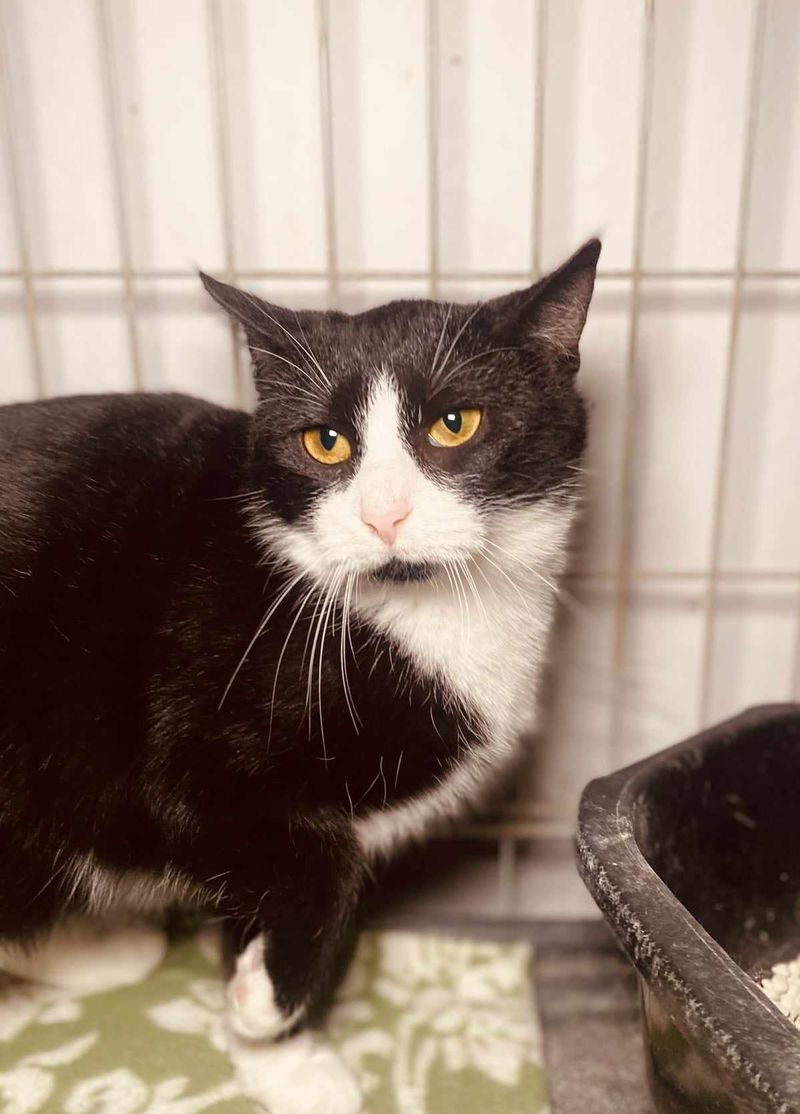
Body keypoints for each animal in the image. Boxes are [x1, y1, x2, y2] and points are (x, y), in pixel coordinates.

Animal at [0, 238, 599, 1112]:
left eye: (455, 423)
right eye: (326, 442)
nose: (384, 515)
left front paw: (270, 1052)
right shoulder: (193, 742)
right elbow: (315, 858)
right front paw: (271, 1021)